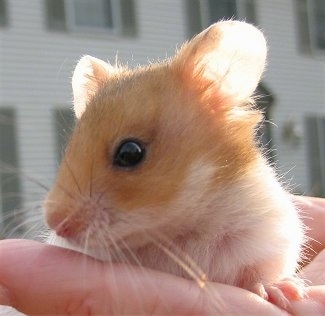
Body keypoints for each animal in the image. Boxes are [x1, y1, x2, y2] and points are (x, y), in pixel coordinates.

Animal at [44, 21, 306, 312]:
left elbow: (258, 274)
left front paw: (284, 291)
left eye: (130, 153)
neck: (176, 232)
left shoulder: (269, 237)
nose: (54, 223)